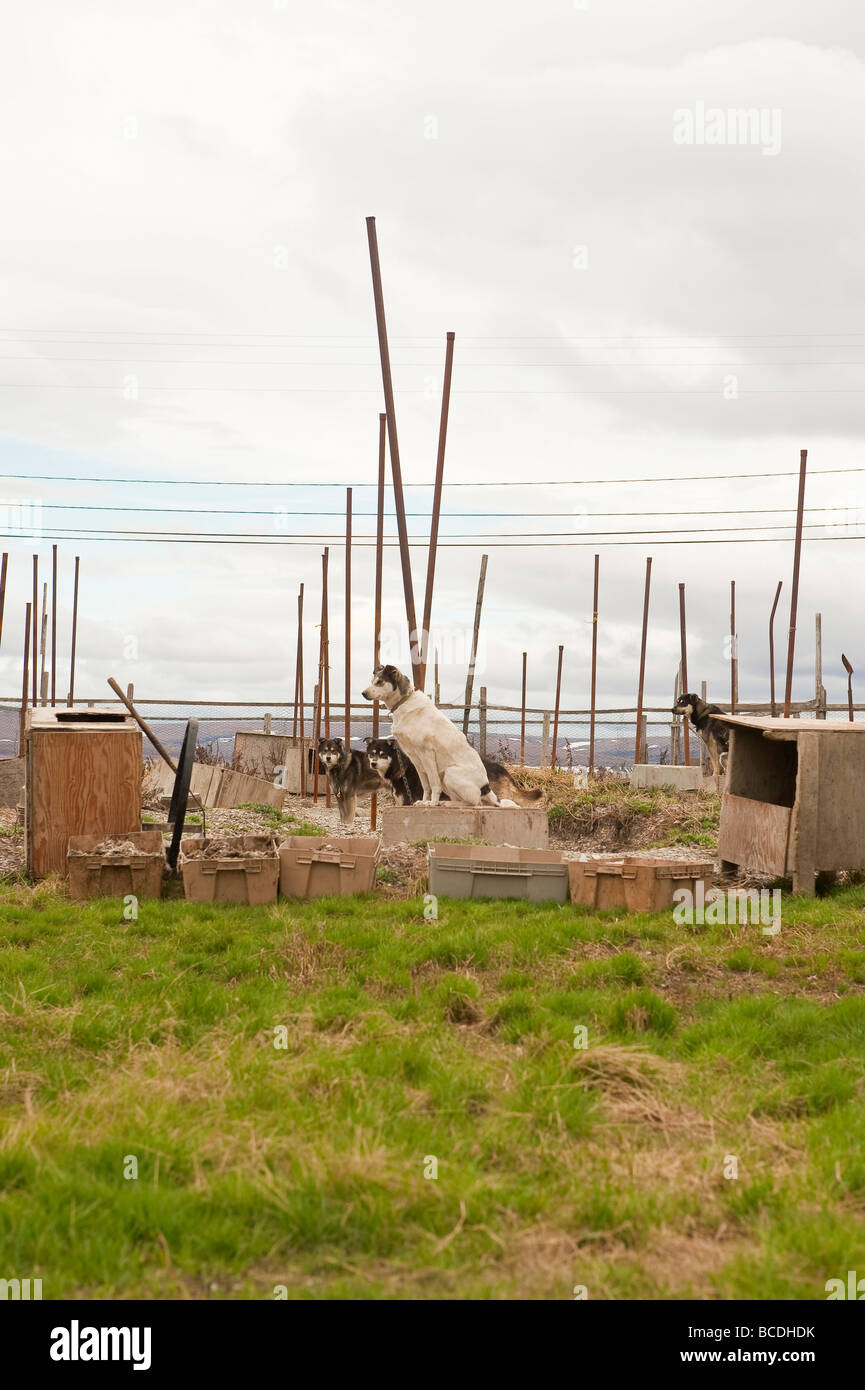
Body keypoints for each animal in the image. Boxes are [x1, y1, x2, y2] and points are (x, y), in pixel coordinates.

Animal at [361, 667, 500, 811]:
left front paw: (431, 803)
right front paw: (424, 802)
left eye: (380, 681)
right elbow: (426, 786)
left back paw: (446, 803)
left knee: (476, 803)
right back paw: (446, 803)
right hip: (444, 777)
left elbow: (433, 785)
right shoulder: (415, 758)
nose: (363, 693)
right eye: (372, 681)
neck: (404, 702)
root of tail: (486, 787)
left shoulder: (427, 754)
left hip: (449, 772)